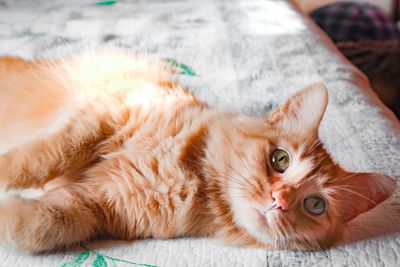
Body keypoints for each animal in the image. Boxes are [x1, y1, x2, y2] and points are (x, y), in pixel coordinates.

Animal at [0, 50, 396, 253]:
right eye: (280, 159)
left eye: (315, 205)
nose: (279, 200)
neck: (194, 176)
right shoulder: (105, 113)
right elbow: (43, 156)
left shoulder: (101, 206)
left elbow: (40, 225)